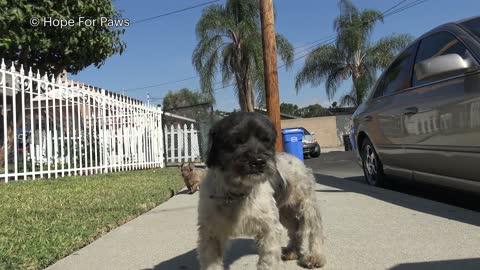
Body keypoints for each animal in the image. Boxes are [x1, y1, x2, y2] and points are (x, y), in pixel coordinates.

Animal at [196, 112, 326, 270]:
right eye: (237, 141)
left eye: (266, 140)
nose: (259, 161)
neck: (237, 192)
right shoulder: (211, 232)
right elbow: (211, 260)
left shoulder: (269, 229)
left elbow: (268, 260)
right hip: (284, 212)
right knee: (295, 229)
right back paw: (292, 251)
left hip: (307, 206)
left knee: (315, 230)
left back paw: (315, 256)